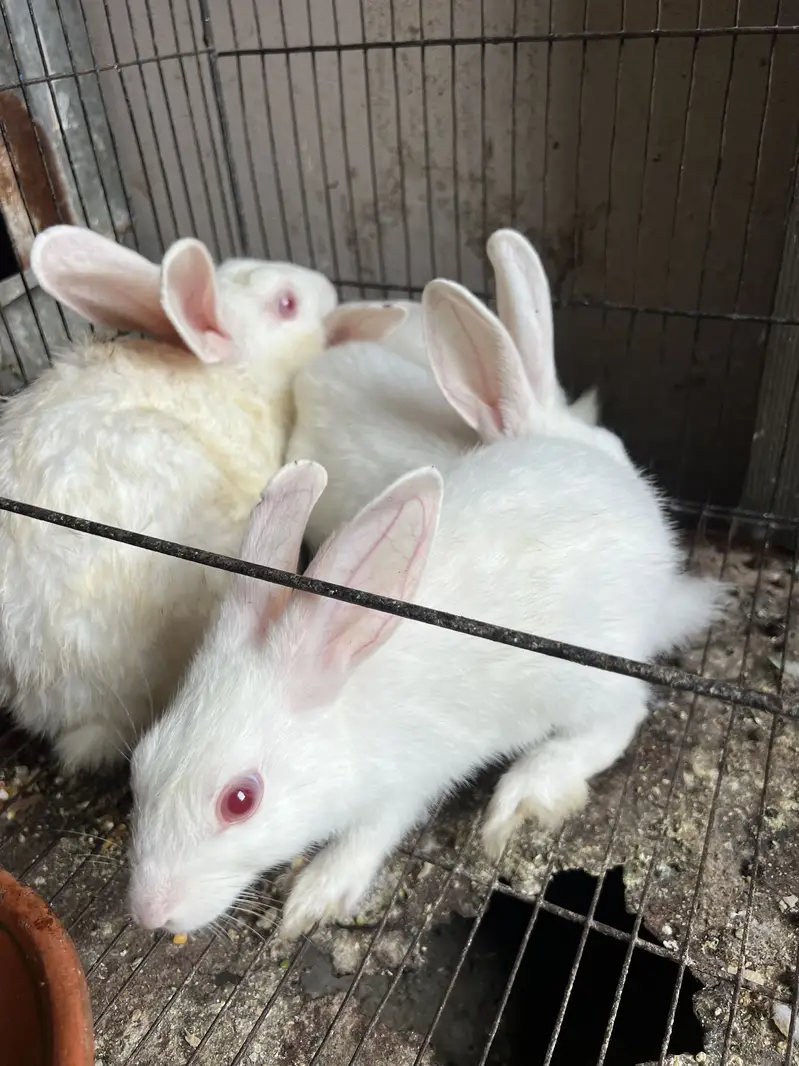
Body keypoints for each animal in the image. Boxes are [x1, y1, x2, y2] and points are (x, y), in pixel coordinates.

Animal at [126, 277, 719, 940]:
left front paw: (313, 898)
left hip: (586, 678)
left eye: (240, 800)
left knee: (619, 720)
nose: (147, 912)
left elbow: (367, 837)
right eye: (141, 760)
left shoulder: (401, 786)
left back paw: (527, 789)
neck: (345, 700)